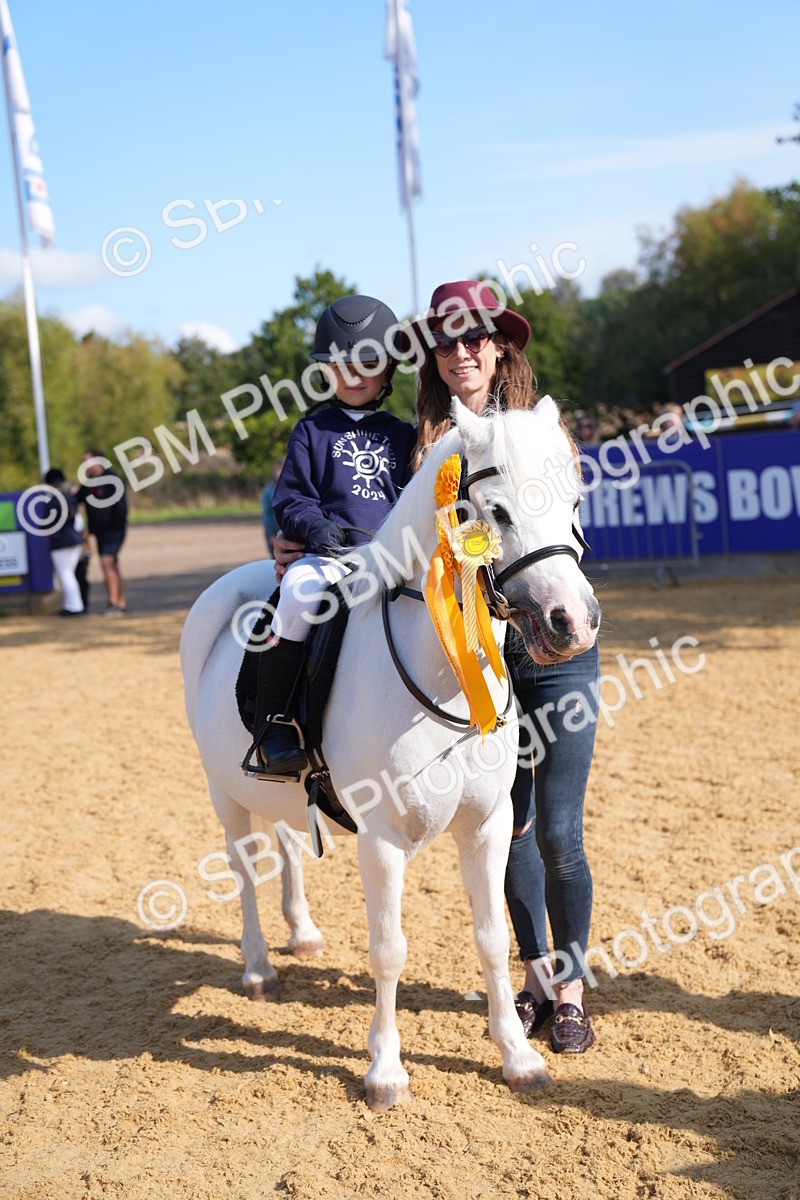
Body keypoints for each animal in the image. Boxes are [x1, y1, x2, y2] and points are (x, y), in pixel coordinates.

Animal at [180, 397, 600, 1110]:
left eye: (573, 500)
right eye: (498, 512)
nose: (571, 621)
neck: (441, 672)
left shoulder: (488, 827)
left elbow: (493, 938)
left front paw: (518, 1056)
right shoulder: (380, 840)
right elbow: (389, 949)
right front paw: (385, 1072)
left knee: (287, 847)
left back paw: (303, 934)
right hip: (221, 793)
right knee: (244, 868)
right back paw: (259, 966)